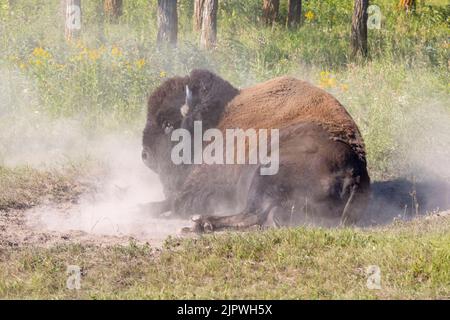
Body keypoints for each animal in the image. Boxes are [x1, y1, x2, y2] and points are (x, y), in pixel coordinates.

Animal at [141, 69, 370, 231]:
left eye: (168, 124)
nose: (145, 155)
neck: (216, 119)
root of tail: (354, 171)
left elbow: (177, 201)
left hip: (264, 173)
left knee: (251, 213)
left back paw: (201, 222)